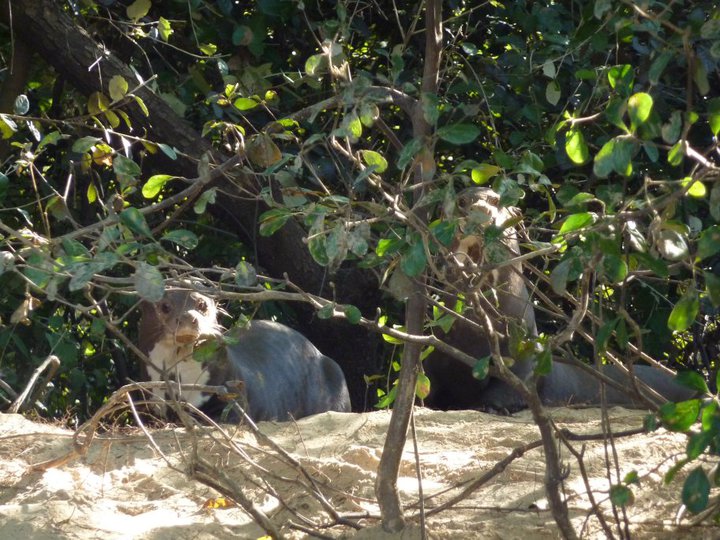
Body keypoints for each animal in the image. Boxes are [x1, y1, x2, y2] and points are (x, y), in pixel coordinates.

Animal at [138, 289, 351, 422]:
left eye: (202, 304)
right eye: (165, 306)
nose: (189, 317)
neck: (179, 379)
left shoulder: (231, 389)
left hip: (335, 376)